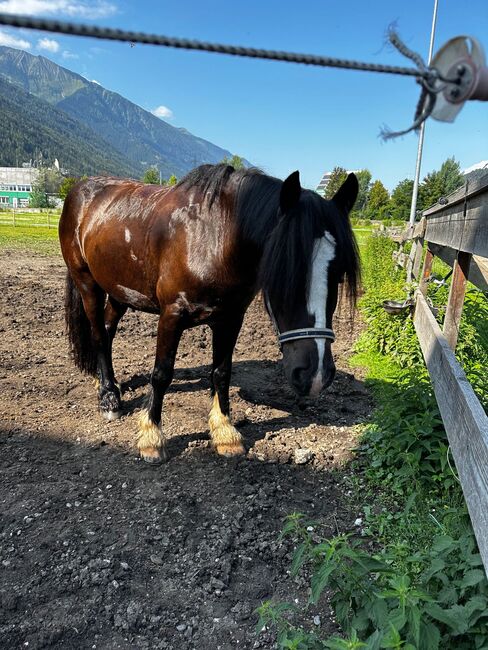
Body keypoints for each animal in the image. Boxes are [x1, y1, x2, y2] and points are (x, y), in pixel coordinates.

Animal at [59, 165, 360, 464]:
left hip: (120, 291)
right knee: (99, 335)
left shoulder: (231, 318)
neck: (213, 237)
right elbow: (161, 373)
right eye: (283, 269)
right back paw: (108, 397)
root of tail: (80, 189)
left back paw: (107, 384)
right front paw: (152, 437)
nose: (315, 375)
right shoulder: (171, 315)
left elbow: (221, 372)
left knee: (108, 330)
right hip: (87, 284)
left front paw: (225, 432)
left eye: (340, 274)